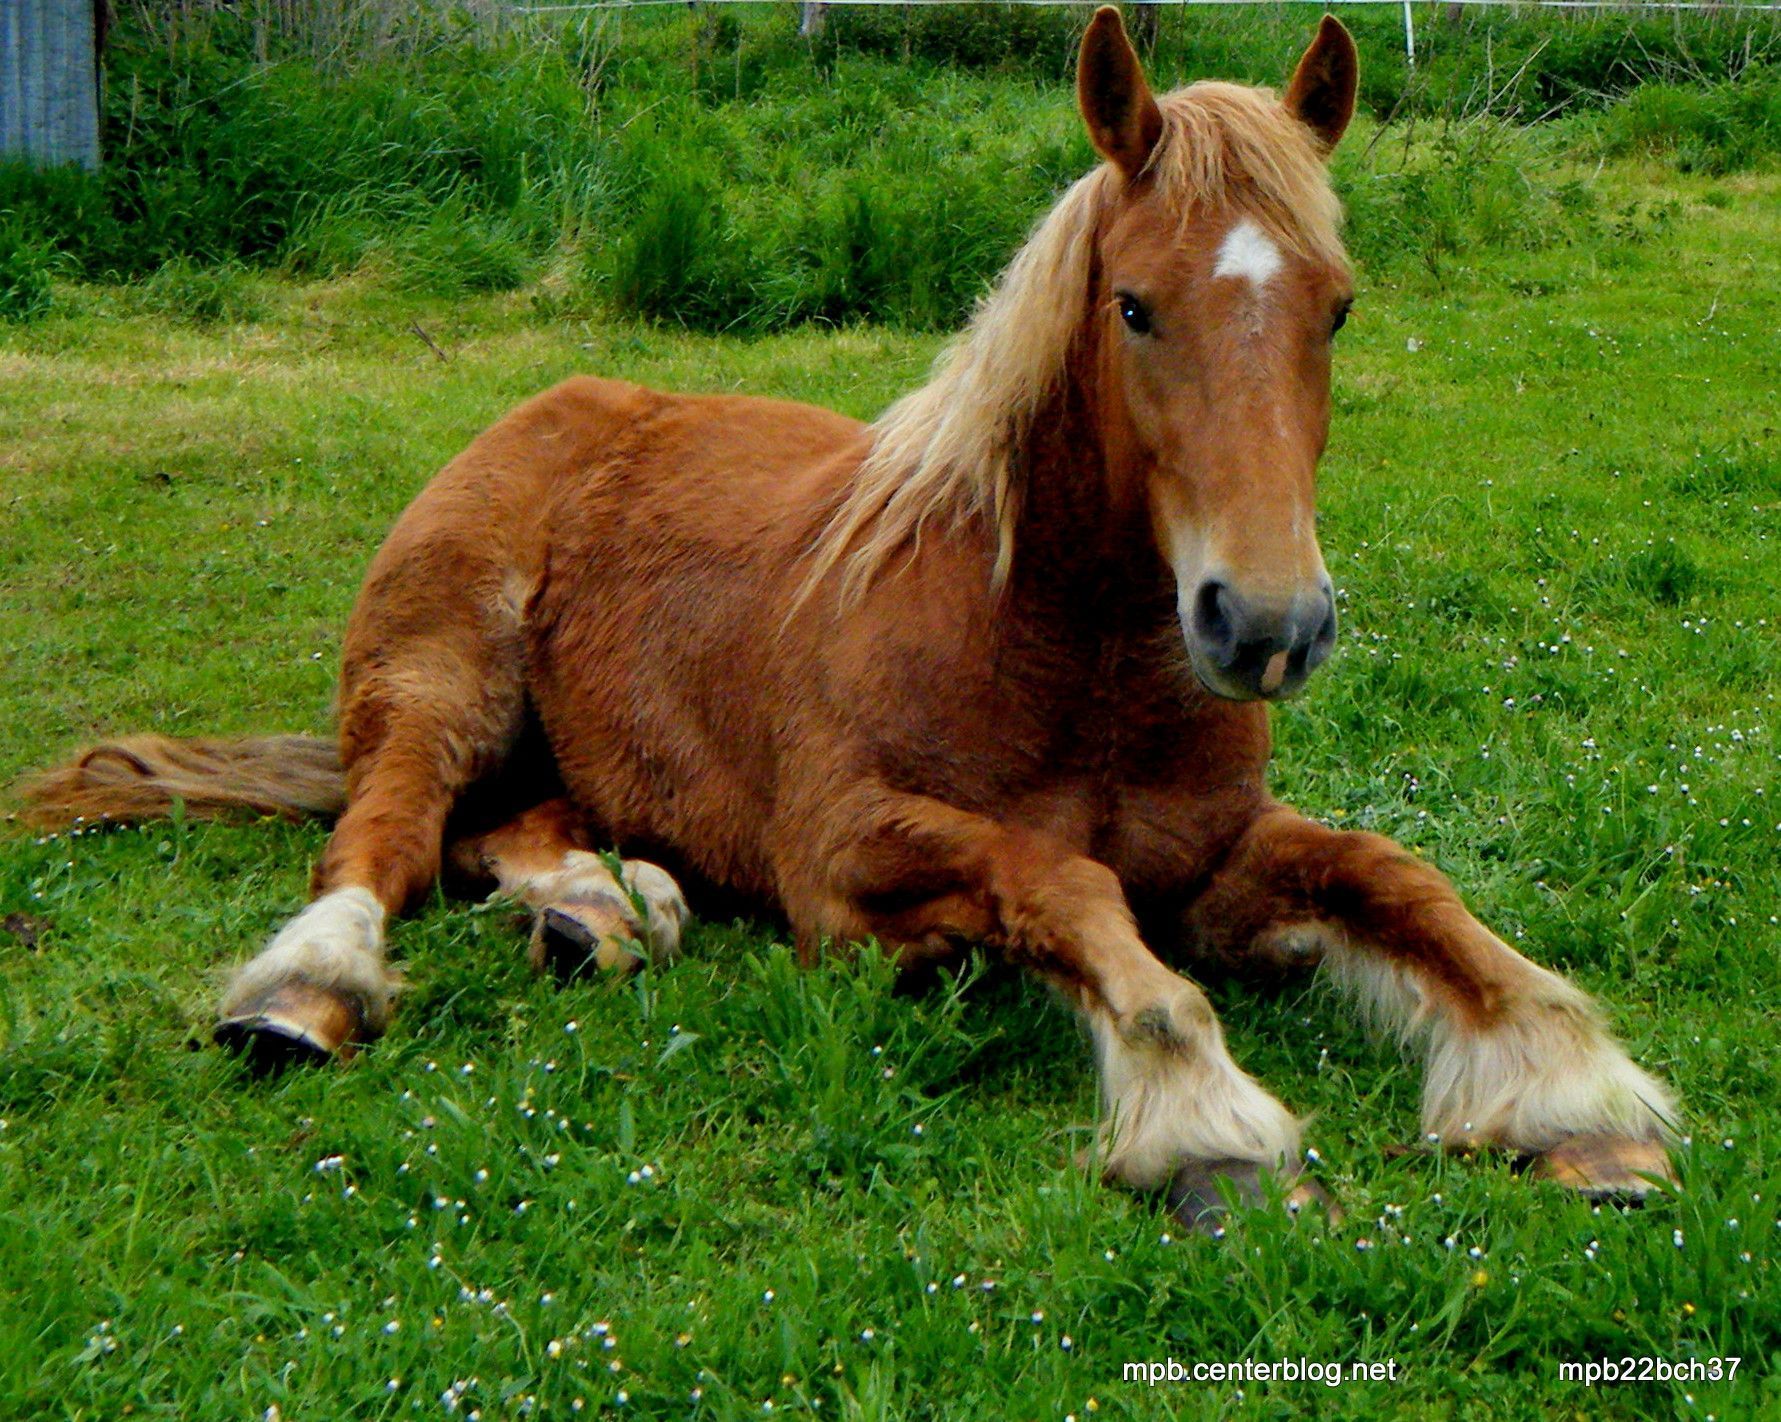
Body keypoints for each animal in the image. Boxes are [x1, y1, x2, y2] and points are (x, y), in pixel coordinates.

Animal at [20, 9, 1677, 1225]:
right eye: (1134, 306)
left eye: (1335, 303)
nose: (1264, 623)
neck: (1055, 653)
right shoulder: (845, 856)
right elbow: (1062, 885)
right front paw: (1205, 1120)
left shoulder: (1217, 857)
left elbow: (1399, 882)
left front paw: (1571, 1082)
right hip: (446, 675)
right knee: (389, 830)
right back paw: (308, 985)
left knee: (512, 825)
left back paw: (604, 911)